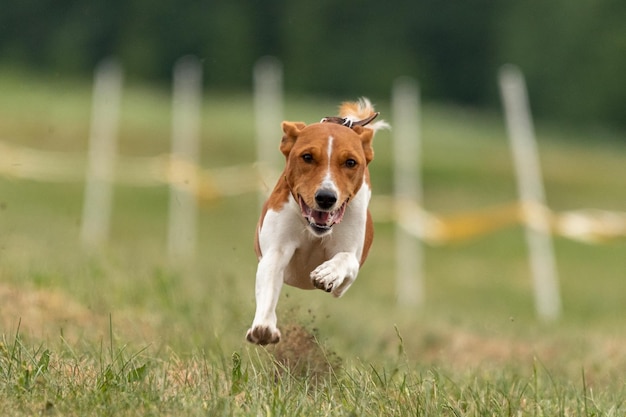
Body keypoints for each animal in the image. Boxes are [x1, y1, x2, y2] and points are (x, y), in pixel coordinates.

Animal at [244, 98, 386, 344]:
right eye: (307, 157)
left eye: (350, 162)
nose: (326, 198)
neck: (314, 230)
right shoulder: (276, 250)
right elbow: (269, 283)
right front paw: (264, 327)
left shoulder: (351, 265)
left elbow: (344, 259)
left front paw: (327, 272)